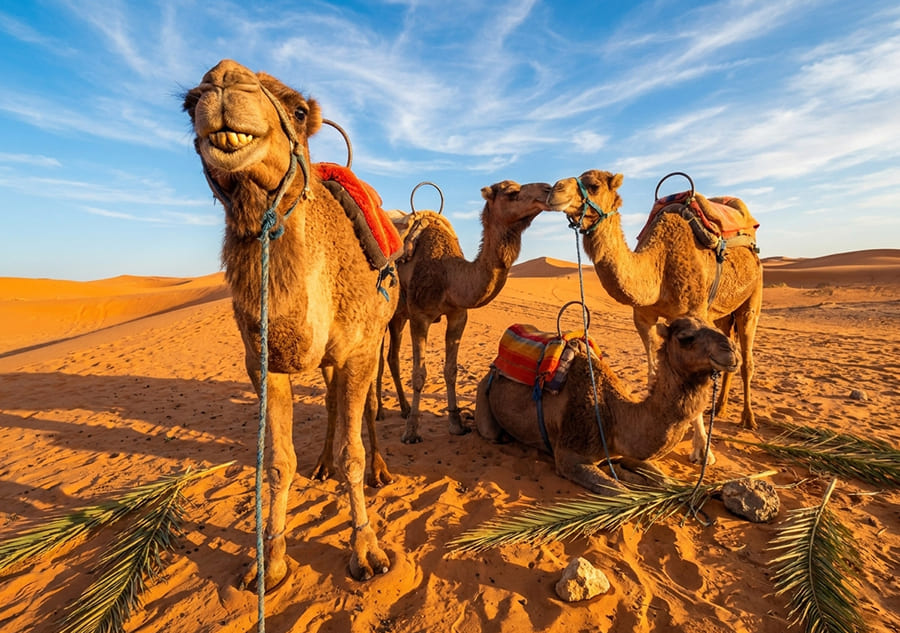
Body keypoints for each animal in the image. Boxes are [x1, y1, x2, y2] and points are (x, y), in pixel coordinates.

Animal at [183, 60, 399, 585]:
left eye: (299, 111)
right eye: (188, 101)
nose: (223, 80)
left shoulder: (359, 350)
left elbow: (353, 453)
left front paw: (367, 551)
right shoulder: (263, 364)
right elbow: (278, 463)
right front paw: (269, 562)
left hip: (379, 336)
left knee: (366, 407)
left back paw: (380, 469)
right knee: (330, 400)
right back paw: (321, 464)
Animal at [382, 180, 552, 443]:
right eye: (511, 192)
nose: (547, 188)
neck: (448, 275)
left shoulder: (458, 316)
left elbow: (451, 370)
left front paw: (456, 424)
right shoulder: (419, 316)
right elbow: (419, 374)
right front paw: (411, 432)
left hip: (399, 316)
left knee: (390, 357)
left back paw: (402, 408)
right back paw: (382, 412)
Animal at [475, 317, 740, 494]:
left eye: (719, 328)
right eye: (686, 338)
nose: (731, 350)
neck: (614, 416)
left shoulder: (624, 451)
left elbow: (665, 480)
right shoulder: (569, 457)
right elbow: (622, 493)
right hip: (484, 395)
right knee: (491, 432)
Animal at [547, 171, 762, 448]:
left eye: (593, 186)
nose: (554, 190)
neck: (659, 266)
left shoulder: (695, 311)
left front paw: (702, 448)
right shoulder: (643, 317)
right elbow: (652, 372)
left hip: (754, 294)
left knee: (746, 357)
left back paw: (748, 419)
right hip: (724, 312)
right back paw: (721, 408)